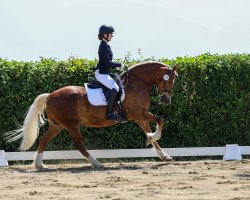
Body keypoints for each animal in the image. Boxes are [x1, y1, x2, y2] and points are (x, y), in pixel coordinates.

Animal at [7, 61, 178, 169]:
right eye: (170, 81)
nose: (166, 100)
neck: (138, 83)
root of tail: (50, 96)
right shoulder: (139, 113)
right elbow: (161, 120)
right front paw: (152, 137)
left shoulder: (139, 116)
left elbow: (152, 131)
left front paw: (163, 154)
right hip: (72, 125)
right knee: (79, 144)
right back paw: (97, 163)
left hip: (57, 125)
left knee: (43, 140)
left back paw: (39, 164)